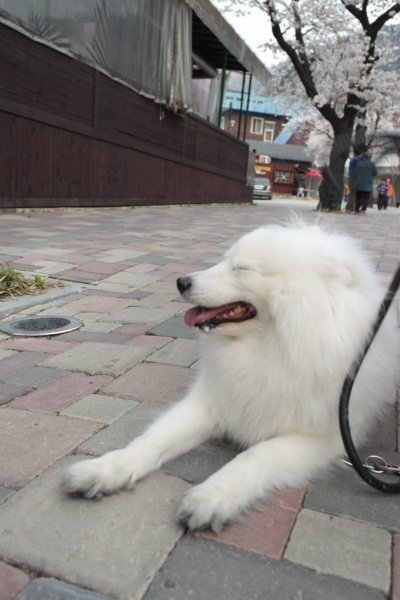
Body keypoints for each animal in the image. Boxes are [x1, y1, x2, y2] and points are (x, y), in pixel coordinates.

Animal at [63, 223, 397, 532]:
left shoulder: (322, 438)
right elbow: (153, 439)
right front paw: (106, 469)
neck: (270, 350)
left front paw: (211, 497)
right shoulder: (210, 401)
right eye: (224, 261)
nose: (181, 281)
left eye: (242, 268)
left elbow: (255, 456)